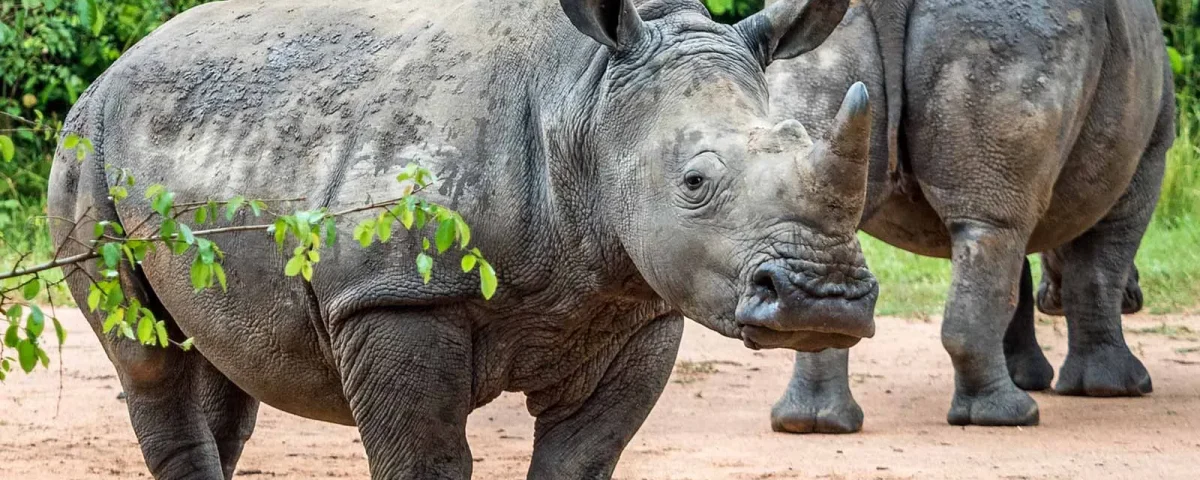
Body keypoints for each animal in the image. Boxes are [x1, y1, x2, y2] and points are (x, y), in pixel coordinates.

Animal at [48, 0, 879, 477]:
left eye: (801, 139)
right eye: (695, 182)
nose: (825, 299)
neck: (585, 95)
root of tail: (115, 69)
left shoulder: (635, 306)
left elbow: (582, 459)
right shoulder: (394, 295)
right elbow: (429, 458)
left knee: (222, 354)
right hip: (85, 150)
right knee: (148, 357)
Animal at [762, 0, 1175, 430]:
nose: (1137, 297)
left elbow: (1021, 276)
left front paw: (1029, 375)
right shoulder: (1146, 162)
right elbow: (1098, 270)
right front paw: (1116, 387)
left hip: (827, 46)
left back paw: (813, 423)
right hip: (1011, 41)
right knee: (993, 228)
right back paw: (1010, 417)